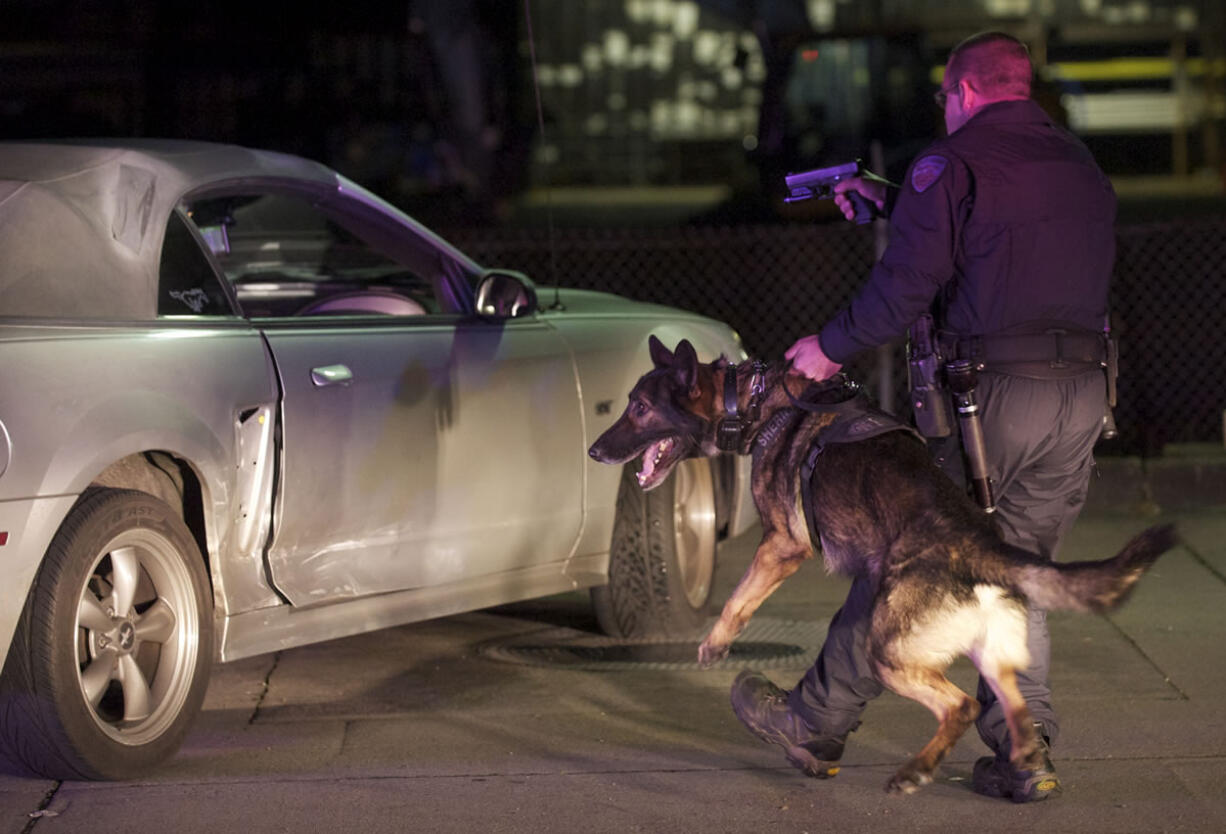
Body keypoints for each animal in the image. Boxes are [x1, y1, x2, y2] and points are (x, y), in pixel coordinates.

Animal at [588, 336, 1181, 789]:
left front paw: (714, 644)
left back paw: (914, 771)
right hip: (988, 657)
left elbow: (738, 599)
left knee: (960, 707)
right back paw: (1023, 763)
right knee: (1013, 710)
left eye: (640, 409)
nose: (593, 451)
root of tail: (980, 546)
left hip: (886, 652)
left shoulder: (783, 544)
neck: (752, 402)